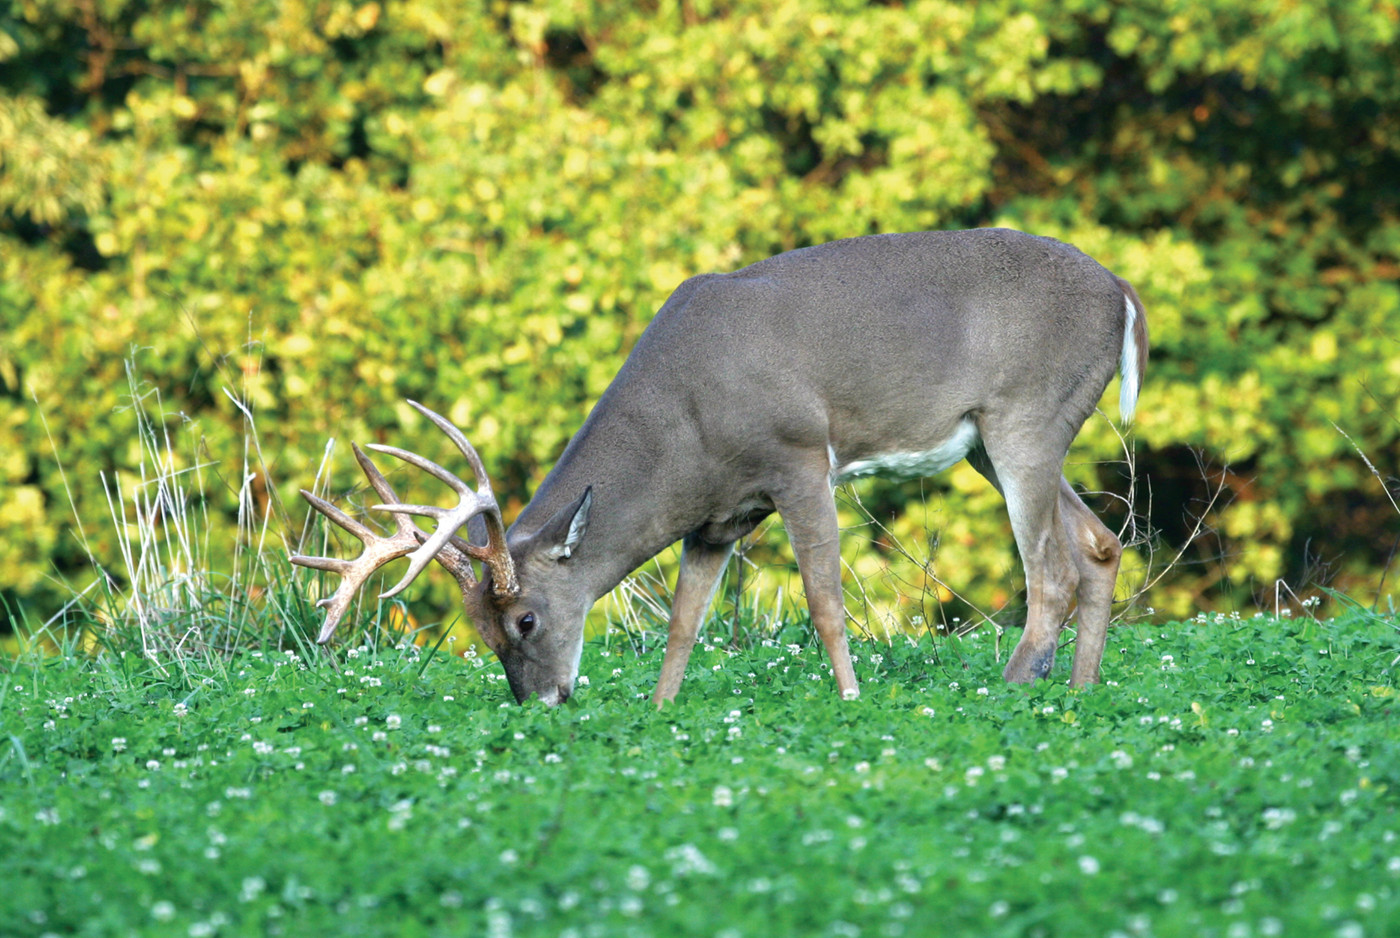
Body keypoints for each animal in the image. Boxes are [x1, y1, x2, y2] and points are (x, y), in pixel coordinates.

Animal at [291, 228, 1147, 707]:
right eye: (480, 630)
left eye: (525, 619)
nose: (540, 702)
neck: (687, 426)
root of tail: (1123, 293)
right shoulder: (716, 517)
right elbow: (683, 622)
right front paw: (662, 709)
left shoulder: (799, 457)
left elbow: (823, 600)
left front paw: (850, 697)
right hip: (991, 444)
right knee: (1101, 545)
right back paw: (1080, 688)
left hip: (1025, 414)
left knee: (1050, 568)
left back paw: (1015, 684)